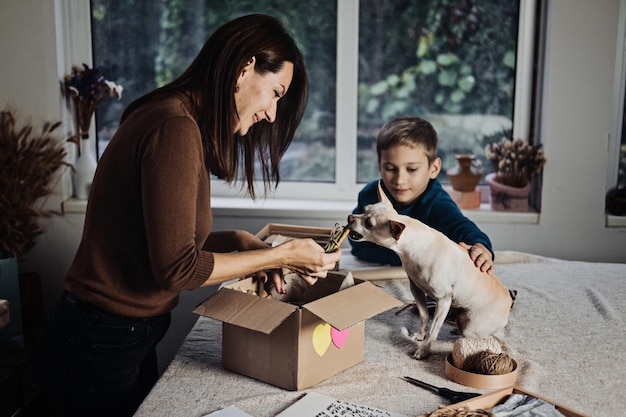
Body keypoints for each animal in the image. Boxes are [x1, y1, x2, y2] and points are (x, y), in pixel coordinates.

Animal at [346, 181, 512, 358]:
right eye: (363, 209)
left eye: (368, 224)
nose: (350, 217)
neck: (411, 246)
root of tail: (508, 299)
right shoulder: (417, 290)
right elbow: (424, 317)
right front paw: (420, 336)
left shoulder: (444, 299)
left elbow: (434, 329)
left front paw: (424, 350)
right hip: (462, 316)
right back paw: (456, 330)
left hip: (472, 326)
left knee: (490, 337)